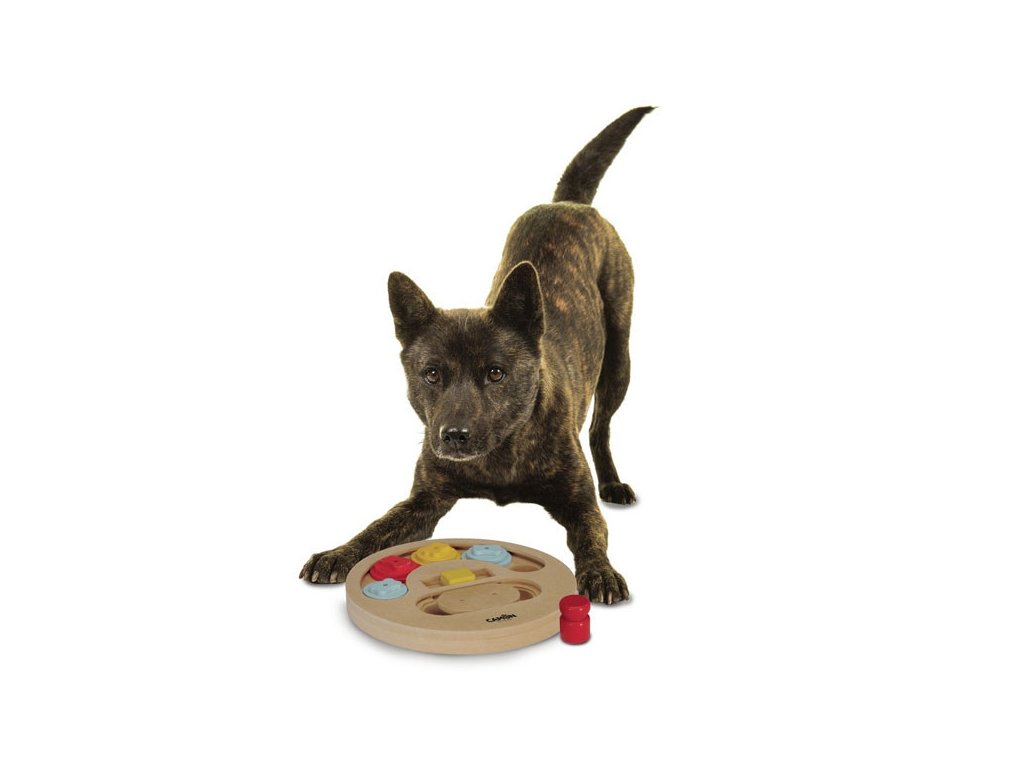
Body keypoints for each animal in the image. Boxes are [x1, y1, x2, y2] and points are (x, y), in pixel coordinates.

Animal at [300, 107, 653, 604]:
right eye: (431, 374)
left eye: (496, 373)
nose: (454, 436)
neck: (501, 452)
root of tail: (567, 204)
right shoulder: (424, 501)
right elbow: (376, 527)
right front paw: (338, 552)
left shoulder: (579, 503)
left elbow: (589, 535)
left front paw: (600, 572)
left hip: (621, 360)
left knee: (601, 427)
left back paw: (614, 483)